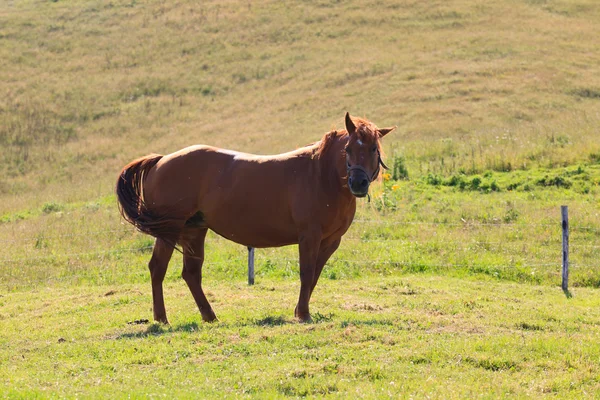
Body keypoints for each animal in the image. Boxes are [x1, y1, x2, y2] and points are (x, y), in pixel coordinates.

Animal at [117, 111, 396, 322]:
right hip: (171, 230)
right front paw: (303, 314)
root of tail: (161, 160)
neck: (320, 175)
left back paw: (210, 316)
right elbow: (306, 272)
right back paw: (162, 318)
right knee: (158, 268)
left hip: (194, 230)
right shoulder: (309, 237)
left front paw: (299, 310)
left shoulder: (330, 241)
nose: (358, 183)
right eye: (348, 149)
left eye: (374, 148)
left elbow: (315, 274)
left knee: (191, 274)